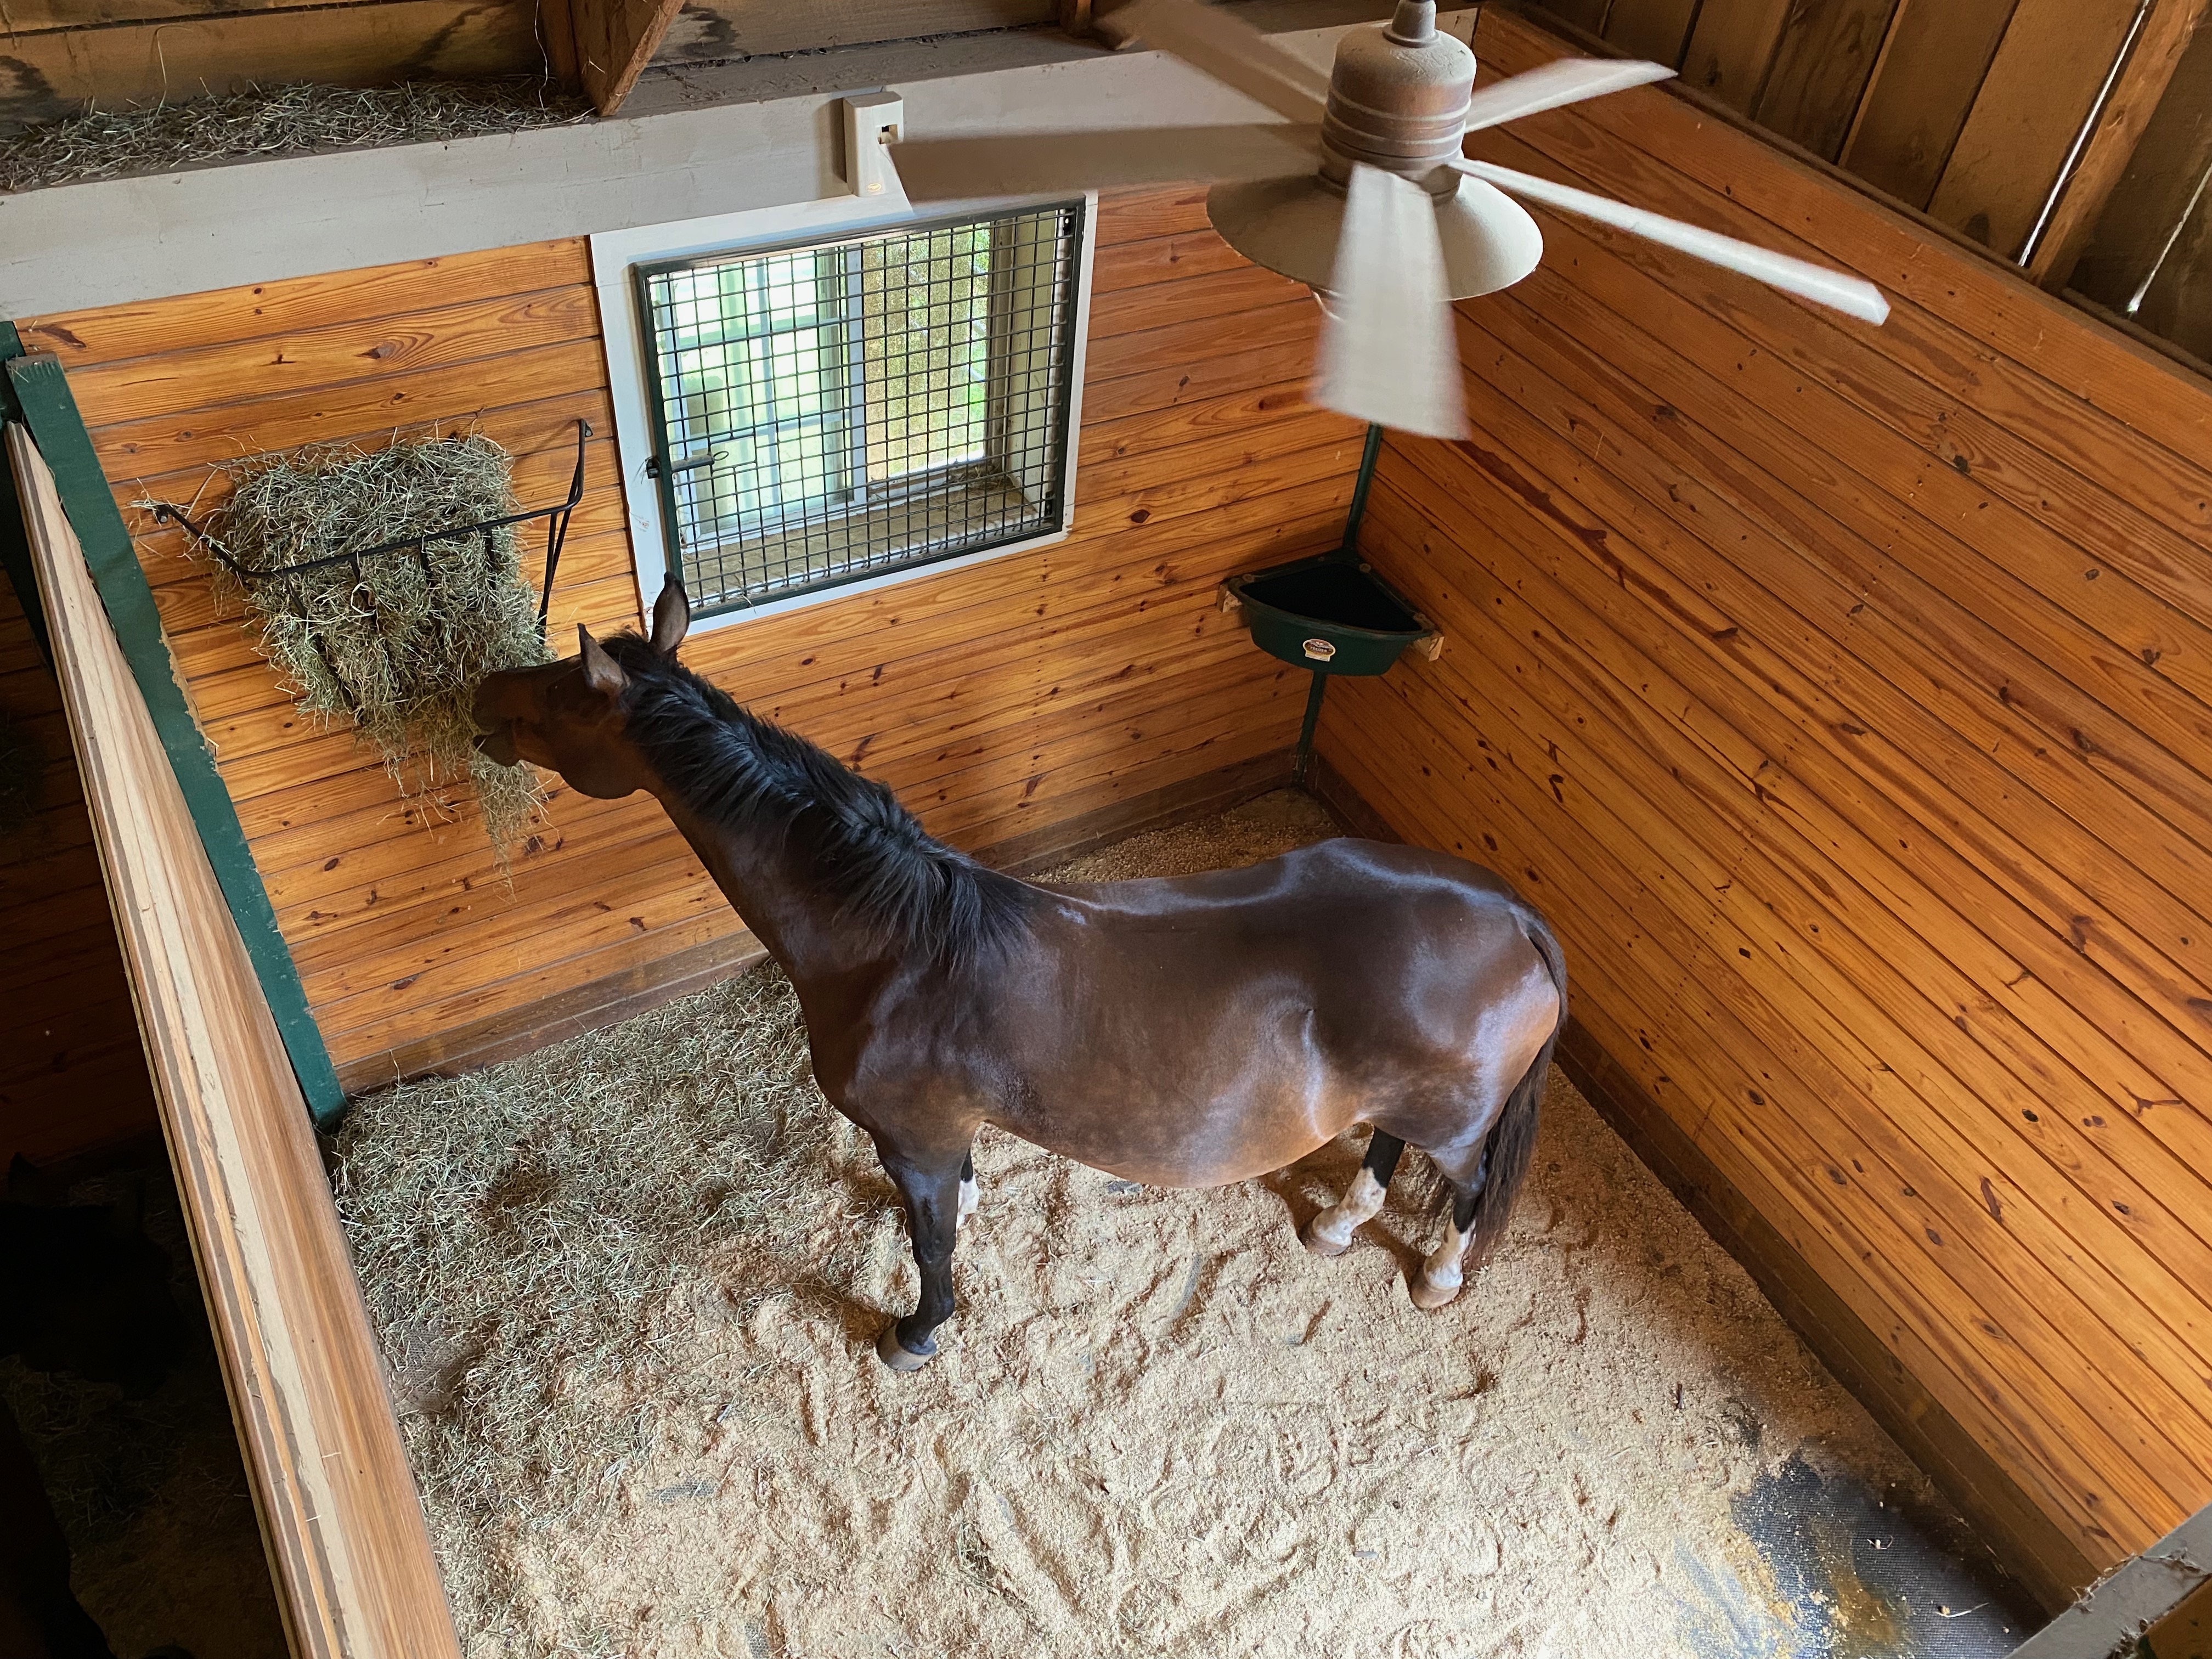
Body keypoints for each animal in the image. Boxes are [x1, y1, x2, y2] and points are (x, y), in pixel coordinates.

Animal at [475, 592, 1566, 1371]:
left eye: (565, 693)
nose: (481, 694)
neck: (894, 947)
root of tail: (1512, 913)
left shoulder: (913, 1138)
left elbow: (931, 1247)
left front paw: (916, 1333)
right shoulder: (935, 1134)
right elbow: (954, 1200)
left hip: (1459, 1127)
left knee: (1466, 1187)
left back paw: (1435, 1276)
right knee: (1385, 1143)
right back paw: (1338, 1224)